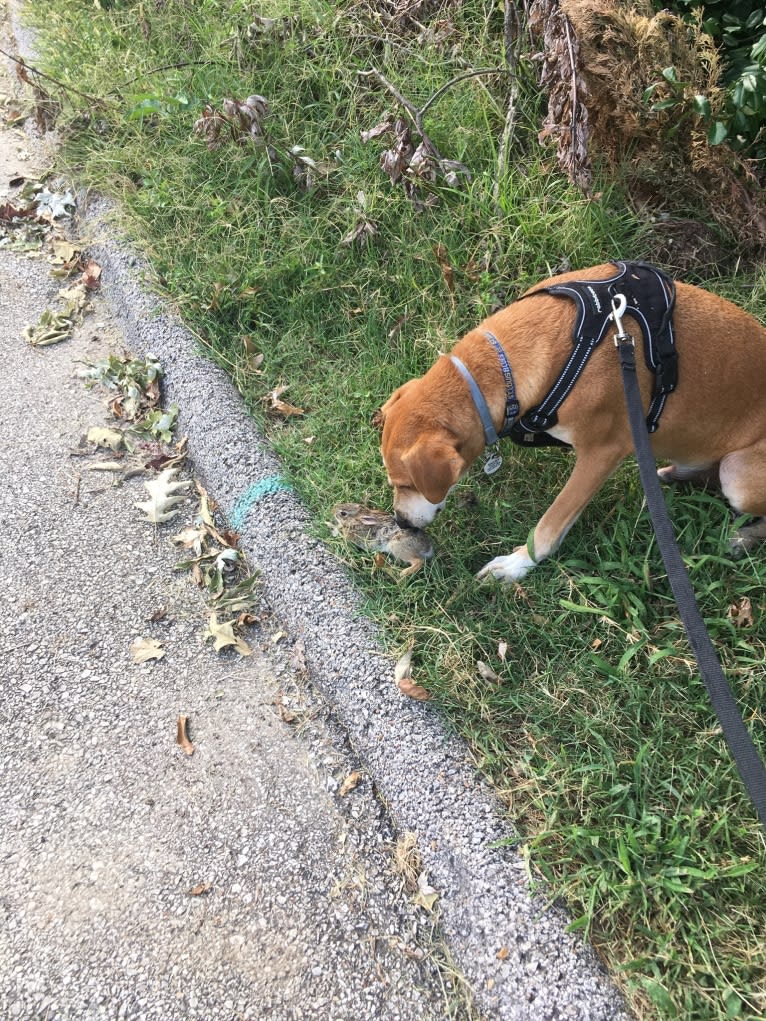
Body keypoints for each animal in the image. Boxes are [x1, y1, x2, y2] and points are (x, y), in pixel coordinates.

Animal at [379, 263, 766, 584]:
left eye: (406, 484)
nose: (400, 521)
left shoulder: (602, 453)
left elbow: (551, 524)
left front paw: (518, 564)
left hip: (737, 473)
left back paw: (742, 538)